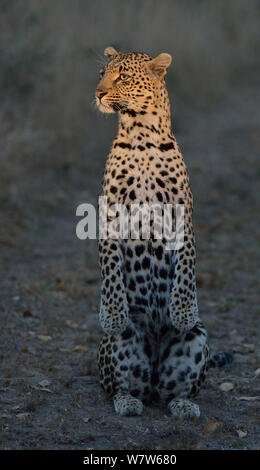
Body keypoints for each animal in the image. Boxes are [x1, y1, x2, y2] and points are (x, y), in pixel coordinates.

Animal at [94, 46, 233, 416]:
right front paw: (112, 314)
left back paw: (183, 405)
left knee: (175, 390)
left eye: (123, 76)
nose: (98, 93)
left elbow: (186, 267)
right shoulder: (109, 216)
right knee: (119, 387)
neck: (141, 137)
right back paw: (128, 401)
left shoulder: (182, 217)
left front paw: (182, 312)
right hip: (121, 346)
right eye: (102, 73)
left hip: (198, 339)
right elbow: (109, 269)